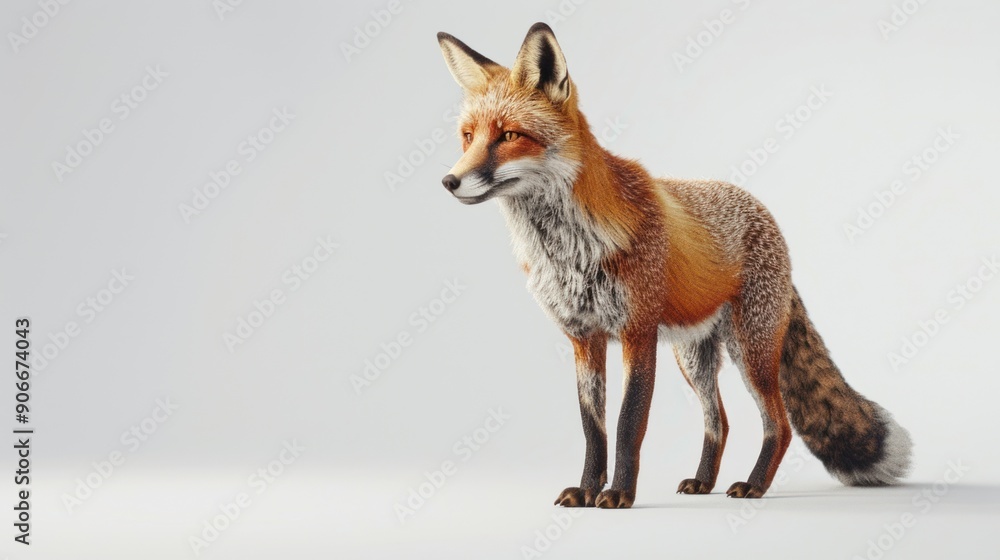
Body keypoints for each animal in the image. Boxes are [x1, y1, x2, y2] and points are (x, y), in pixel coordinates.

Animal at [436, 22, 912, 509]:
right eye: (468, 136)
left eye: (509, 136)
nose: (449, 181)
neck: (569, 249)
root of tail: (766, 217)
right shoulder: (584, 338)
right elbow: (593, 429)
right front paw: (587, 490)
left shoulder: (637, 332)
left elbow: (627, 425)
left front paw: (619, 494)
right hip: (694, 356)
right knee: (719, 420)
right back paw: (704, 481)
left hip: (751, 349)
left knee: (778, 424)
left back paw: (754, 485)